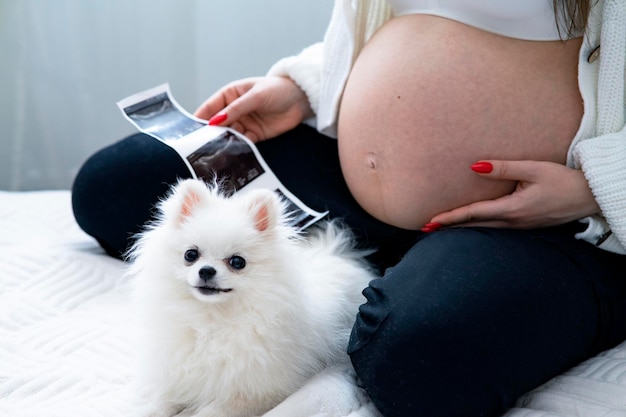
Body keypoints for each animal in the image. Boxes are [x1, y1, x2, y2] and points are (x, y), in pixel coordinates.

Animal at [127, 179, 376, 416]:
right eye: (191, 255)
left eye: (237, 262)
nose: (206, 270)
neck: (212, 318)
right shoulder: (180, 372)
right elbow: (165, 399)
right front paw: (148, 410)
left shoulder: (257, 392)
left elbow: (213, 411)